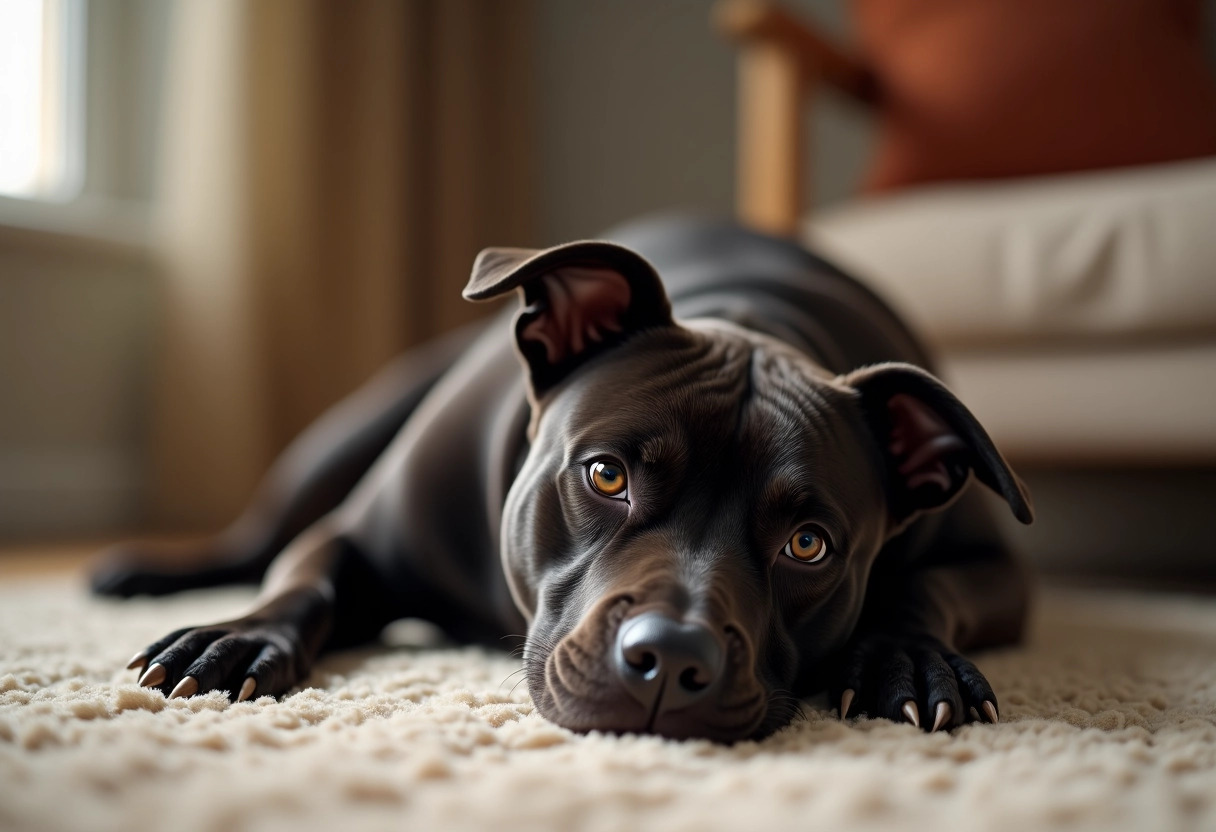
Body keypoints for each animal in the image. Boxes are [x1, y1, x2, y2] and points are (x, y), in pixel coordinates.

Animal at [89, 214, 1031, 739]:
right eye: (607, 477)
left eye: (809, 546)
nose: (672, 656)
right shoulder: (357, 536)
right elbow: (303, 582)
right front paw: (235, 638)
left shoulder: (997, 570)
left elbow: (921, 592)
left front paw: (911, 661)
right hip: (345, 429)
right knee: (261, 538)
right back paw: (148, 573)